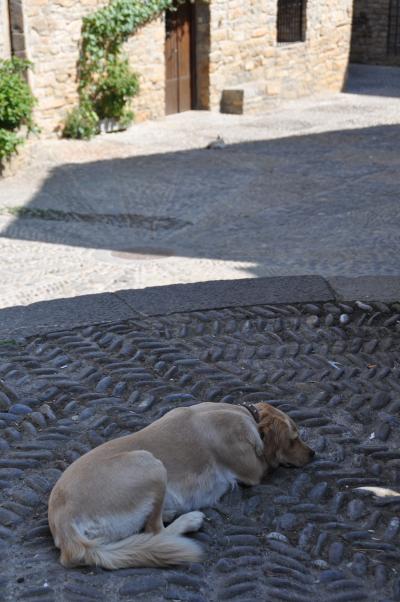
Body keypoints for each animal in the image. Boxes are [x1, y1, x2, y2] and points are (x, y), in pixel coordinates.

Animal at [48, 404, 314, 568]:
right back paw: (188, 520)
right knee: (155, 531)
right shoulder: (254, 471)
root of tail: (63, 523)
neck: (246, 415)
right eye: (294, 438)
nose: (314, 454)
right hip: (151, 464)